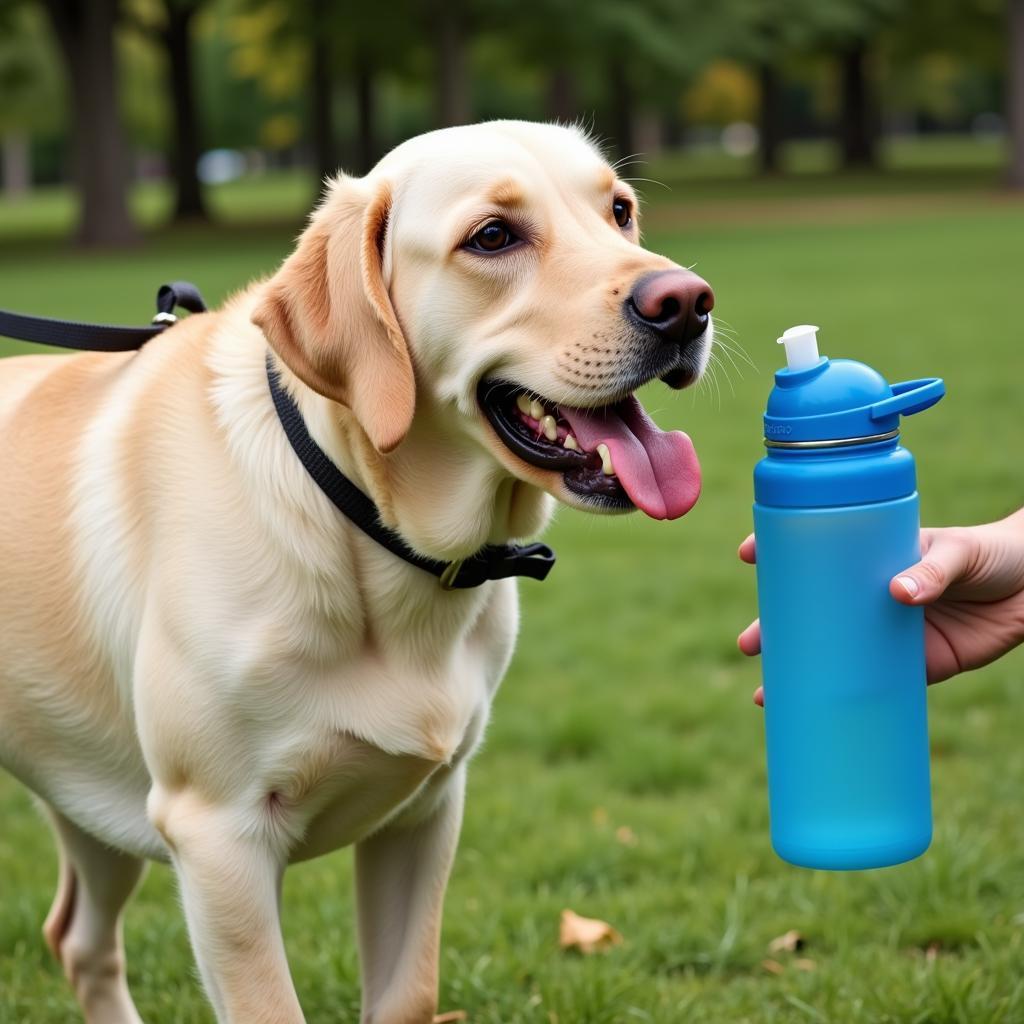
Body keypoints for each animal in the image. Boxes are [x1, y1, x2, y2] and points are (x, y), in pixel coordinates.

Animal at [0, 121, 712, 1024]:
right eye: (493, 237)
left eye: (619, 212)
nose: (687, 301)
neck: (361, 522)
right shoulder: (217, 835)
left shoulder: (426, 810)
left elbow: (408, 995)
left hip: (92, 803)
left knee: (79, 939)